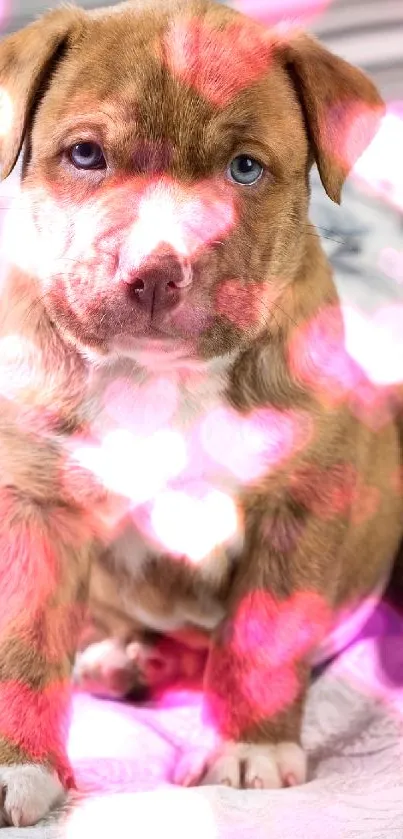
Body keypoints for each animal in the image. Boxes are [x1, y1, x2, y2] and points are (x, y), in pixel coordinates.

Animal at [0, 0, 403, 828]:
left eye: (243, 168)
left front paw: (250, 748)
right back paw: (119, 655)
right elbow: (22, 639)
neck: (159, 377)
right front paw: (20, 766)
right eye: (85, 155)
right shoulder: (36, 502)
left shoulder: (303, 496)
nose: (154, 270)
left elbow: (262, 630)